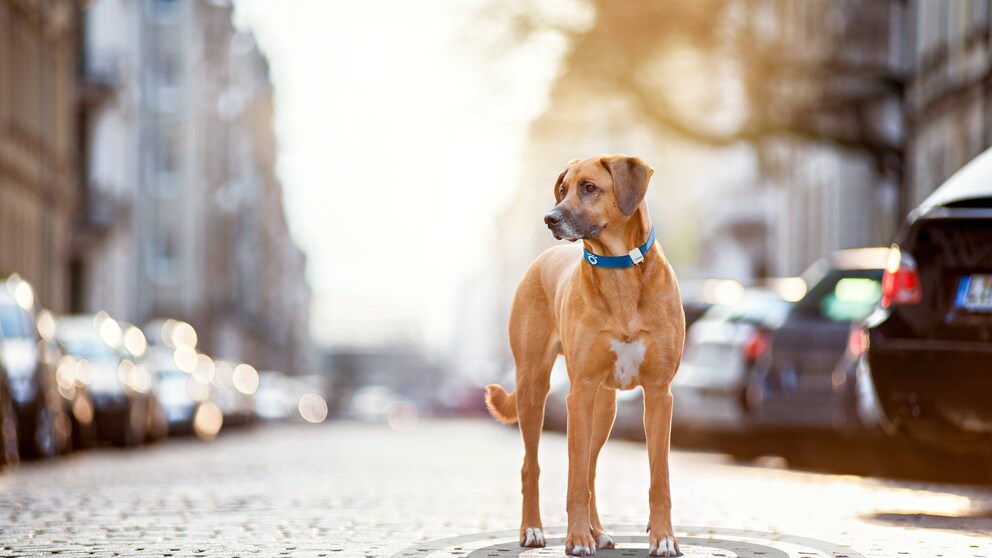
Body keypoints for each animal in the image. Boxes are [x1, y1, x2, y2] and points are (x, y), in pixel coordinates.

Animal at [484, 155, 684, 556]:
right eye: (562, 190)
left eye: (589, 188)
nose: (549, 218)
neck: (619, 268)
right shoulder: (579, 392)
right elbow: (574, 479)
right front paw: (577, 538)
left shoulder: (659, 394)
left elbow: (659, 478)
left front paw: (663, 537)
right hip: (534, 388)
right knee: (533, 466)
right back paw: (533, 530)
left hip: (604, 406)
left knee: (590, 467)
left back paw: (599, 531)